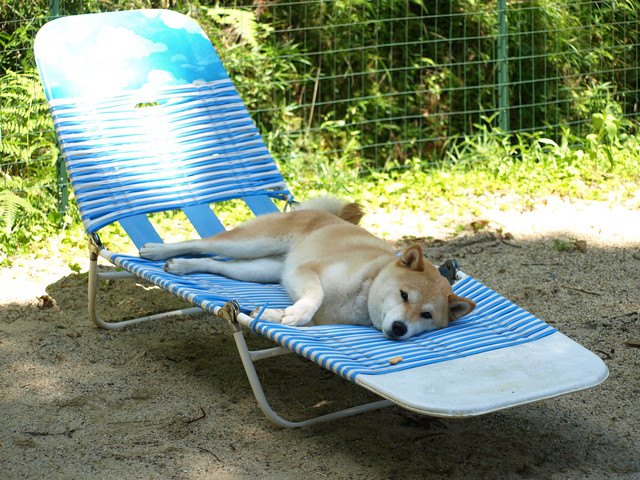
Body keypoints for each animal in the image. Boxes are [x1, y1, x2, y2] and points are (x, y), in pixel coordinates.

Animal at [142, 197, 478, 340]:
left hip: (260, 269)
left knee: (214, 263)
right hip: (254, 243)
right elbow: (315, 296)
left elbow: (298, 316)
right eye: (404, 295)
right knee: (202, 242)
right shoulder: (306, 271)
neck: (366, 286)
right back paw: (158, 250)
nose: (399, 328)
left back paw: (183, 266)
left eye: (427, 315)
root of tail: (325, 214)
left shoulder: (302, 289)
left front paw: (273, 314)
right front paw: (294, 313)